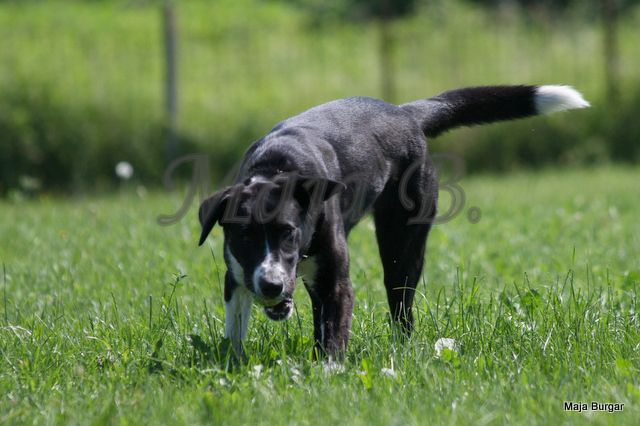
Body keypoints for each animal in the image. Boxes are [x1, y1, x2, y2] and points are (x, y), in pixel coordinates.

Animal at [198, 85, 588, 358]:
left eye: (288, 233)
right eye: (245, 237)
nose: (271, 285)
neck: (276, 168)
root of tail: (404, 113)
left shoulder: (337, 282)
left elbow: (335, 335)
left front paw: (327, 374)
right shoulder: (238, 275)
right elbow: (235, 328)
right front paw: (232, 363)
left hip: (402, 248)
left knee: (402, 308)